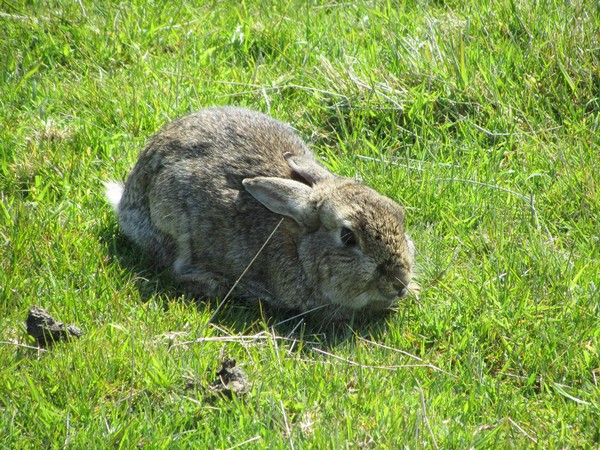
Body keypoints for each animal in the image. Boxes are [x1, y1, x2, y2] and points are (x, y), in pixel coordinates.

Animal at [105, 105, 414, 320]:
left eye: (398, 214)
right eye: (348, 237)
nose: (400, 282)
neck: (299, 245)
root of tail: (126, 199)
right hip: (172, 217)